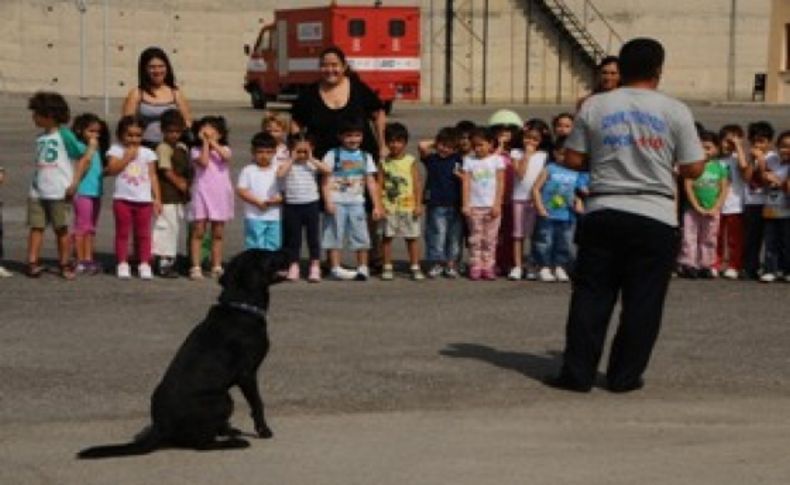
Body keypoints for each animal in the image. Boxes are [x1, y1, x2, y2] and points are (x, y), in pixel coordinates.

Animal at [77, 250, 286, 458]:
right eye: (268, 255)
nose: (288, 251)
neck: (241, 306)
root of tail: (161, 427)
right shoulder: (247, 374)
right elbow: (257, 404)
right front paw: (264, 430)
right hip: (223, 399)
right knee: (202, 444)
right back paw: (235, 442)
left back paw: (228, 431)